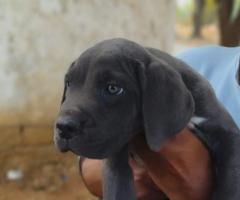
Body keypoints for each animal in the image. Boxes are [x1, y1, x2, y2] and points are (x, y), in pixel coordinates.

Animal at [53, 38, 240, 199]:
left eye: (113, 88)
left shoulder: (227, 133)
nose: (64, 126)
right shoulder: (116, 162)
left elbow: (230, 181)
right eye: (68, 83)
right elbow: (118, 189)